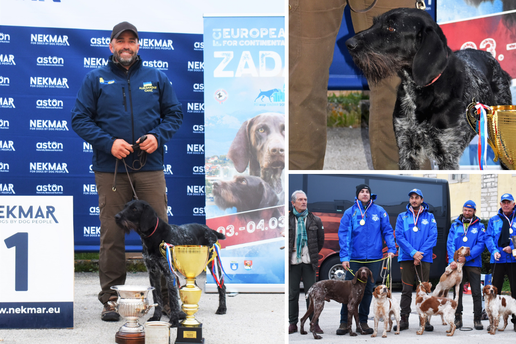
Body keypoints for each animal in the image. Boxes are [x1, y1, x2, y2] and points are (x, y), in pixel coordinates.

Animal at [346, 7, 512, 169]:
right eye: (374, 24)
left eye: (391, 28)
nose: (349, 43)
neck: (420, 90)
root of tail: (491, 57)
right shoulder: (406, 148)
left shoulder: (447, 154)